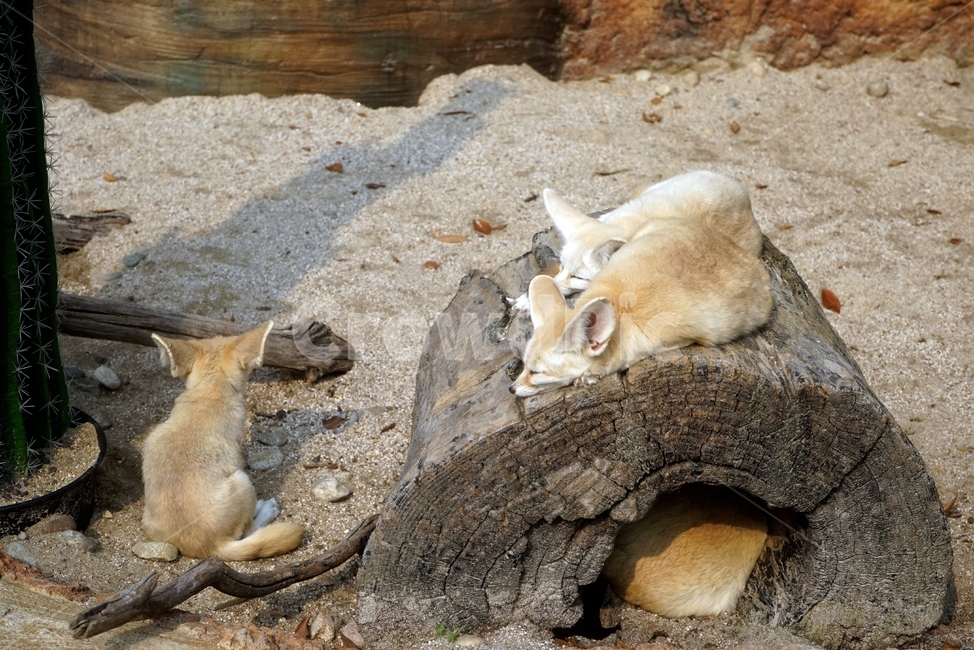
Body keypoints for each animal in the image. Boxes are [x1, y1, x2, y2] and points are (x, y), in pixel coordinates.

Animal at [510, 217, 772, 397]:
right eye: (524, 365)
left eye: (537, 372)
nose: (512, 389)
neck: (618, 306)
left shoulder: (683, 335)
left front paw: (588, 377)